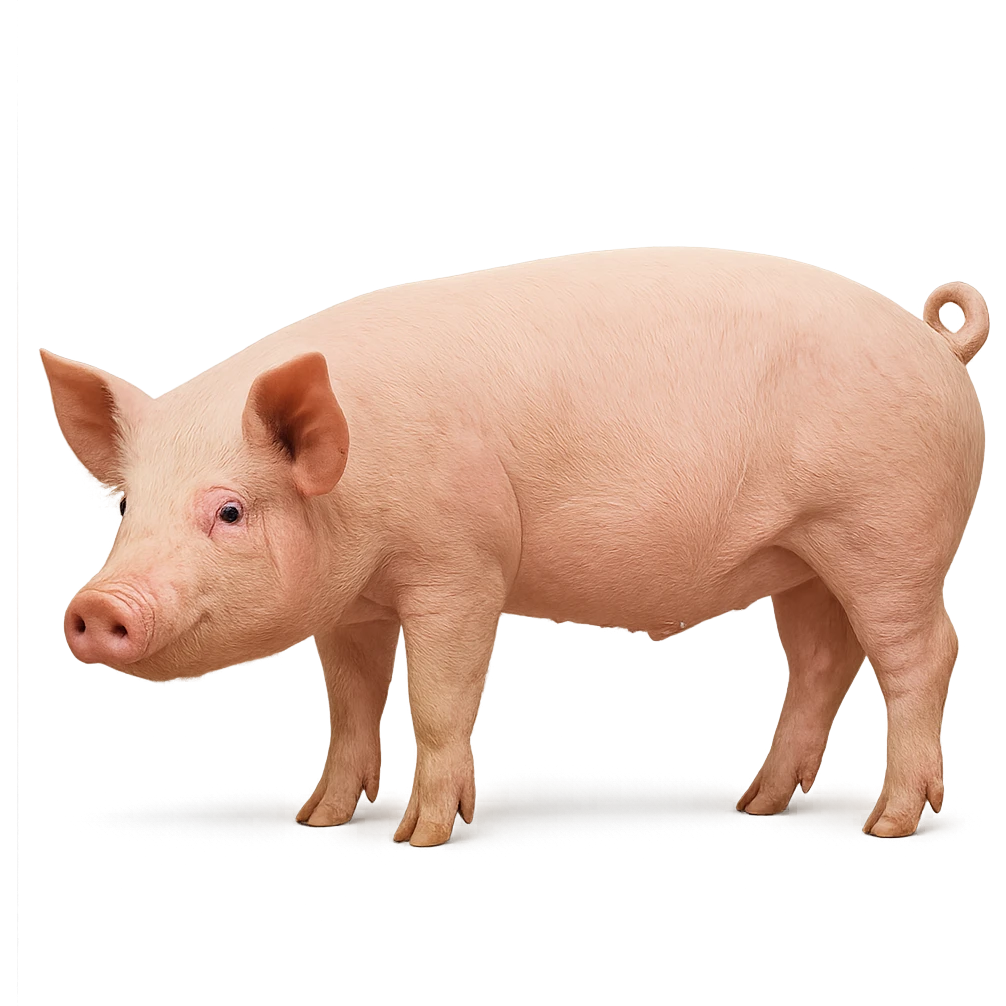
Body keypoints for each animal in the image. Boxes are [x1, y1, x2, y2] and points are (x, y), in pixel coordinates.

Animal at [39, 247, 987, 847]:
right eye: (126, 506)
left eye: (230, 511)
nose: (94, 607)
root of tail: (935, 337)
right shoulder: (353, 604)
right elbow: (349, 704)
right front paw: (319, 819)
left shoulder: (460, 564)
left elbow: (439, 699)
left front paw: (422, 837)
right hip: (804, 555)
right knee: (823, 658)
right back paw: (759, 805)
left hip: (889, 531)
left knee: (922, 651)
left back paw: (891, 821)